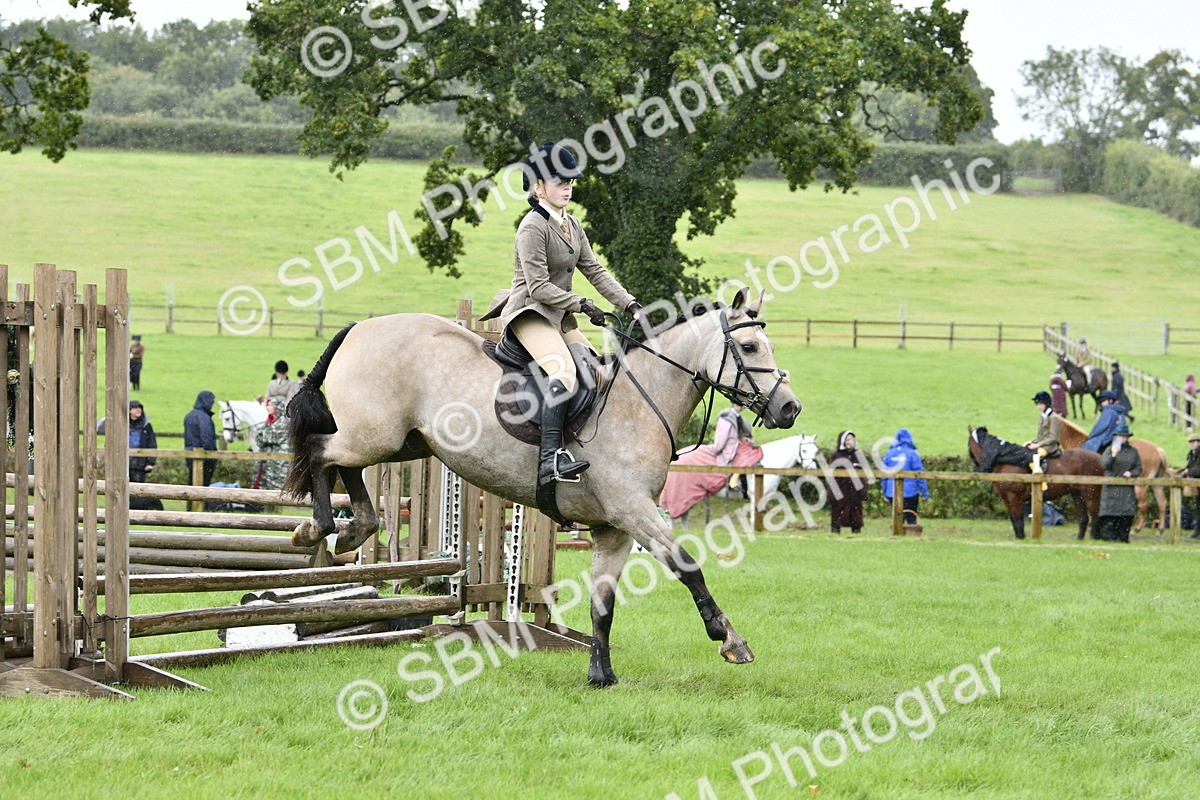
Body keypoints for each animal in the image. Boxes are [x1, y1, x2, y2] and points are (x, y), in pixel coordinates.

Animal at [284, 288, 801, 686]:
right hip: (374, 435)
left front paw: (600, 675)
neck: (641, 401)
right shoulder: (634, 512)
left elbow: (602, 604)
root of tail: (359, 327)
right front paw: (730, 640)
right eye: (750, 347)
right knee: (320, 450)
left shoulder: (614, 529)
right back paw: (318, 528)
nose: (790, 409)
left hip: (401, 443)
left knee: (343, 464)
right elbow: (689, 567)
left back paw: (353, 529)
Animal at [968, 425, 1102, 540]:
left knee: (1094, 515)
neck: (1008, 461)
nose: (974, 465)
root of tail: (1099, 458)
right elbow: (1013, 518)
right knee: (1083, 518)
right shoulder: (1007, 498)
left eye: (968, 444)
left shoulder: (1014, 497)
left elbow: (1017, 517)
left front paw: (1021, 538)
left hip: (1091, 494)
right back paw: (1079, 539)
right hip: (1077, 494)